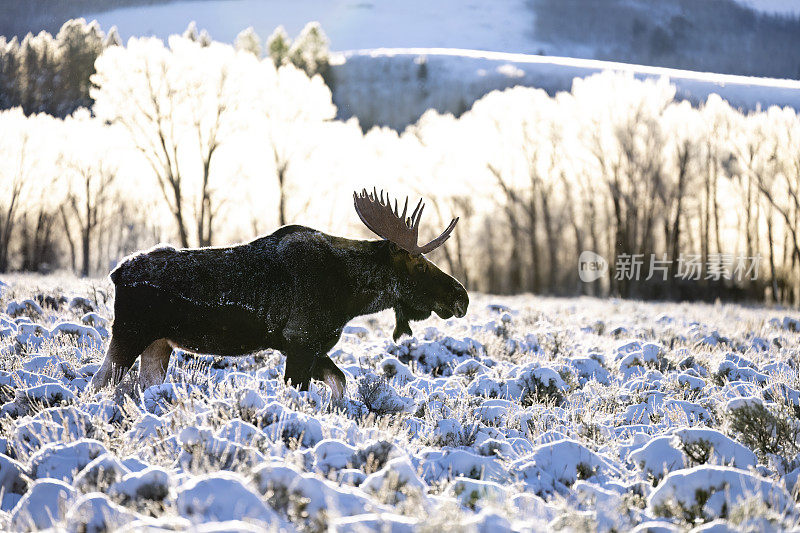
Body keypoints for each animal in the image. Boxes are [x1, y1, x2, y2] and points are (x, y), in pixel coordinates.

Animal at [90, 189, 468, 396]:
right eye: (419, 265)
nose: (460, 297)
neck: (349, 297)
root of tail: (116, 273)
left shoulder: (310, 346)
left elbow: (340, 382)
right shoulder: (301, 341)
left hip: (159, 343)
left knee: (142, 385)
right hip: (129, 332)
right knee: (98, 381)